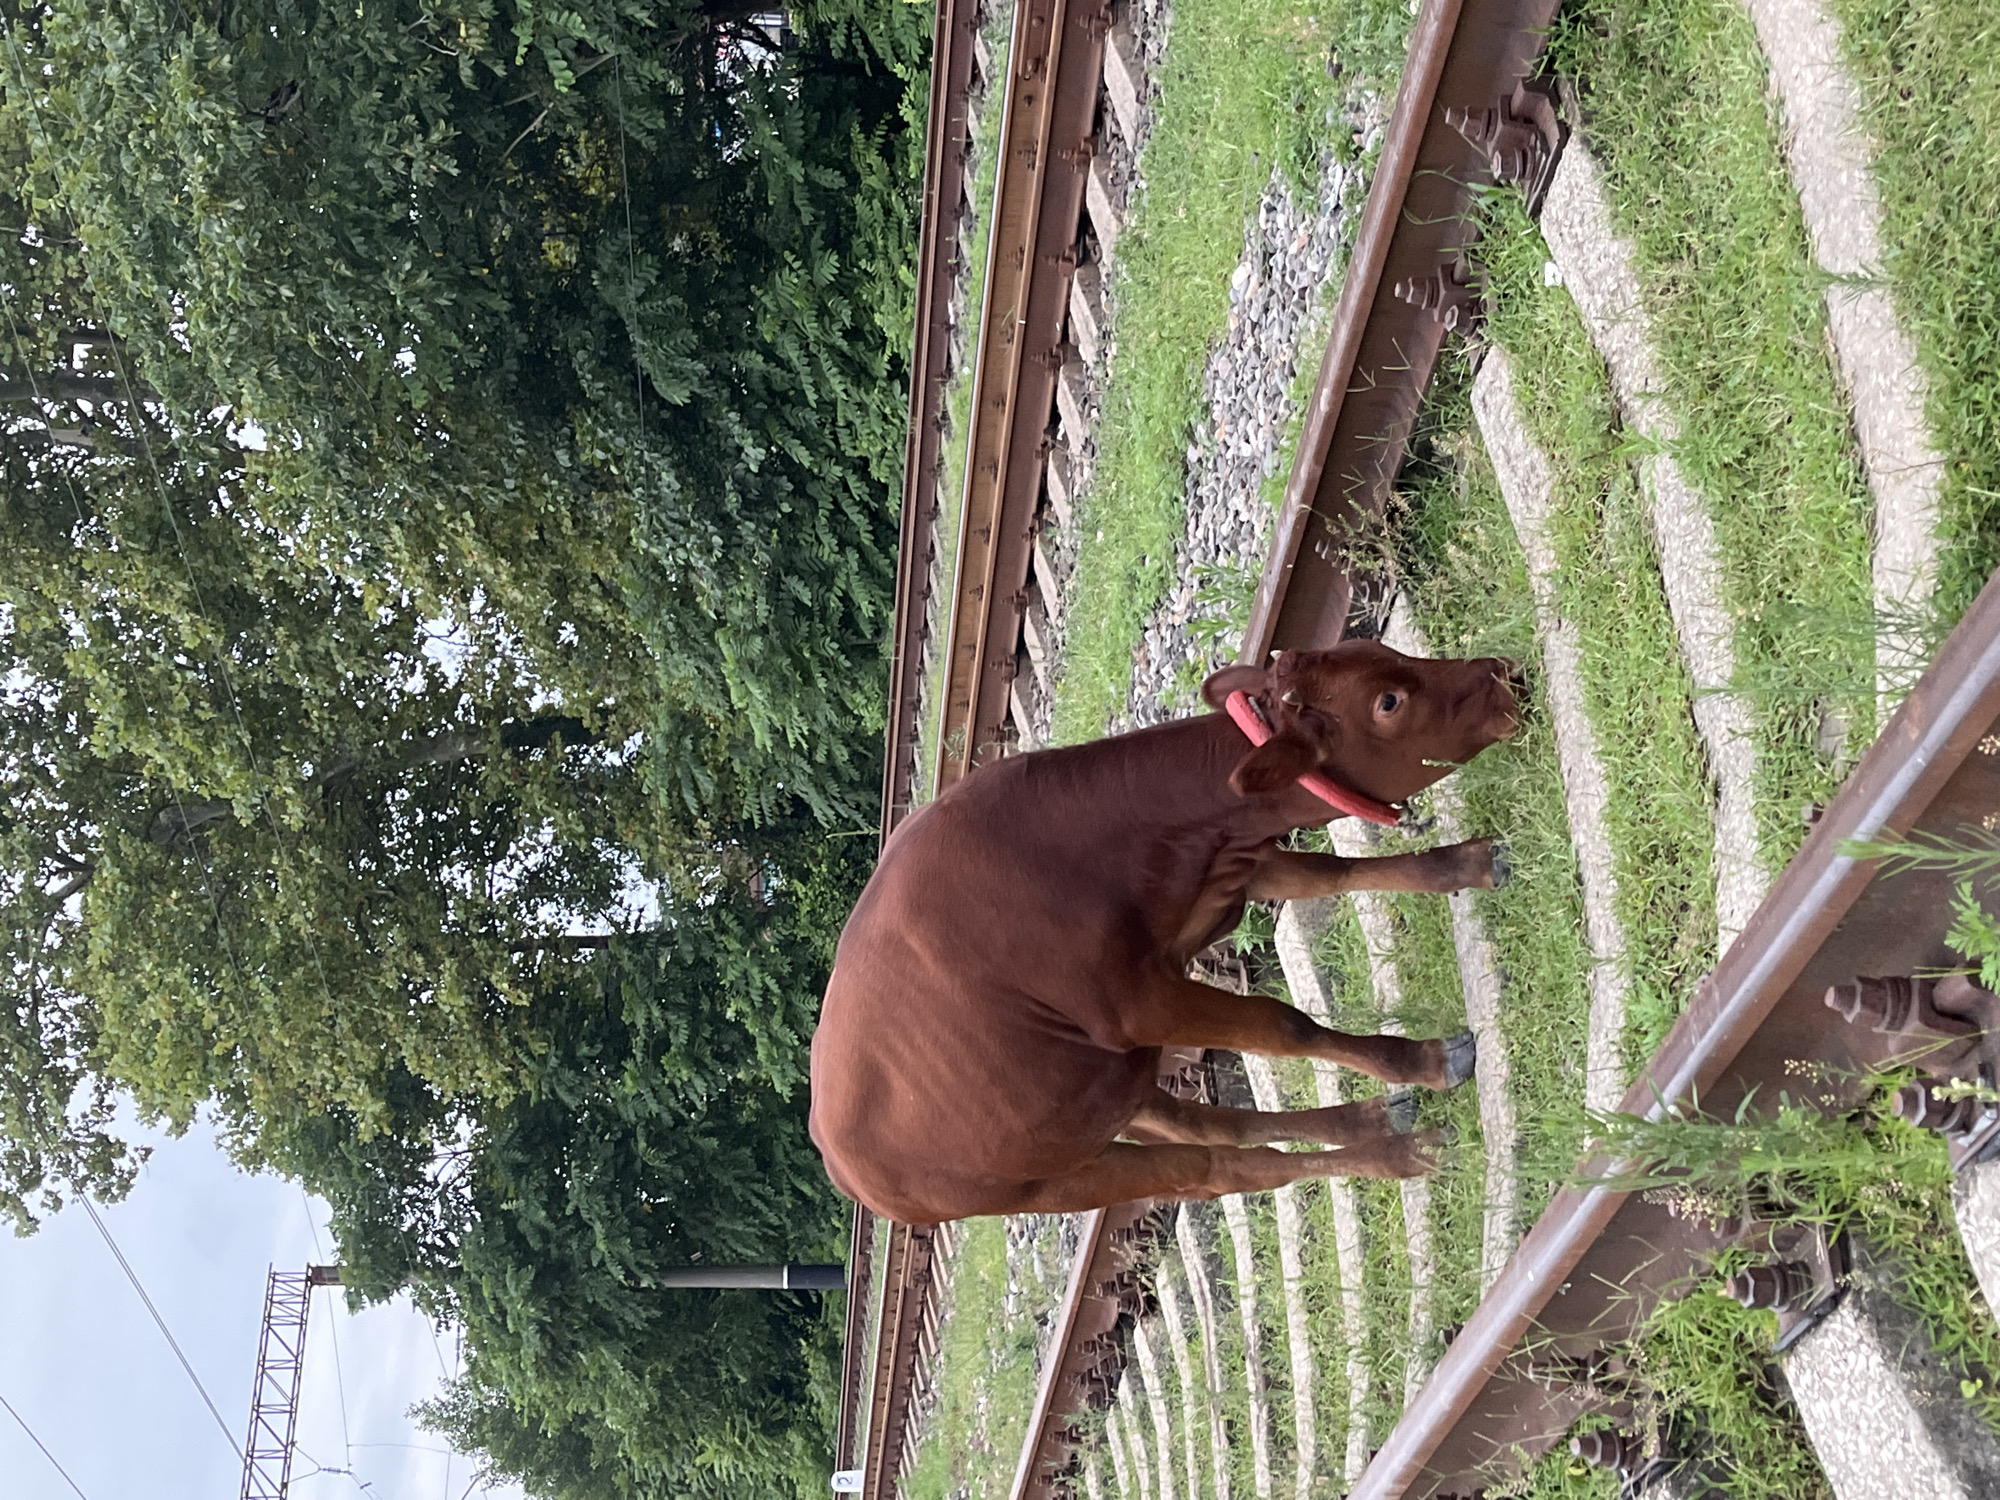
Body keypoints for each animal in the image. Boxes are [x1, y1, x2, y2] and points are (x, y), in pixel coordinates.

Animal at [809, 639, 1522, 1224]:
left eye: (1383, 649)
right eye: (1388, 702)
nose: (1500, 674)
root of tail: (834, 1154)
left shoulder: (1236, 867)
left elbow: (1341, 874)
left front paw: (1469, 863)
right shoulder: (1140, 1003)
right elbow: (1284, 1025)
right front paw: (1424, 1061)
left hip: (1104, 1099)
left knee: (1220, 1130)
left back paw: (1370, 1116)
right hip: (1052, 1181)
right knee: (1224, 1169)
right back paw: (1403, 1154)